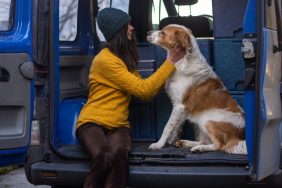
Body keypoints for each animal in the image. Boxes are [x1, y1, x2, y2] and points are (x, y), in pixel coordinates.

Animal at [148, 24, 247, 155]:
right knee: (205, 141)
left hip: (207, 119)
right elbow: (176, 126)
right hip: (198, 122)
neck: (183, 61)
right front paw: (172, 140)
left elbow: (168, 126)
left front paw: (159, 144)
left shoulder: (179, 106)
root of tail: (238, 136)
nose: (148, 33)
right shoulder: (182, 108)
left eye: (163, 33)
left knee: (219, 145)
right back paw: (186, 143)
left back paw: (199, 149)